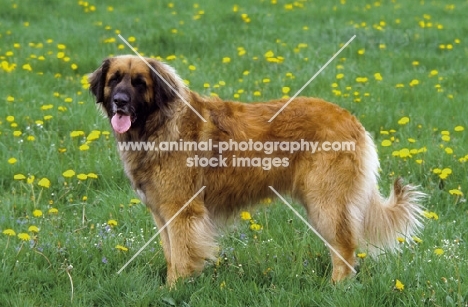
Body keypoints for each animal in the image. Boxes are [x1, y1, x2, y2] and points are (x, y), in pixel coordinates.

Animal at [88, 54, 424, 286]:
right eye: (114, 80)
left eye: (139, 83)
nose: (119, 102)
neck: (157, 126)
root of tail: (351, 119)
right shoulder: (163, 214)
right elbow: (171, 255)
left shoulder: (181, 212)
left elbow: (181, 258)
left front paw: (175, 289)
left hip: (327, 203)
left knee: (345, 248)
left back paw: (336, 288)